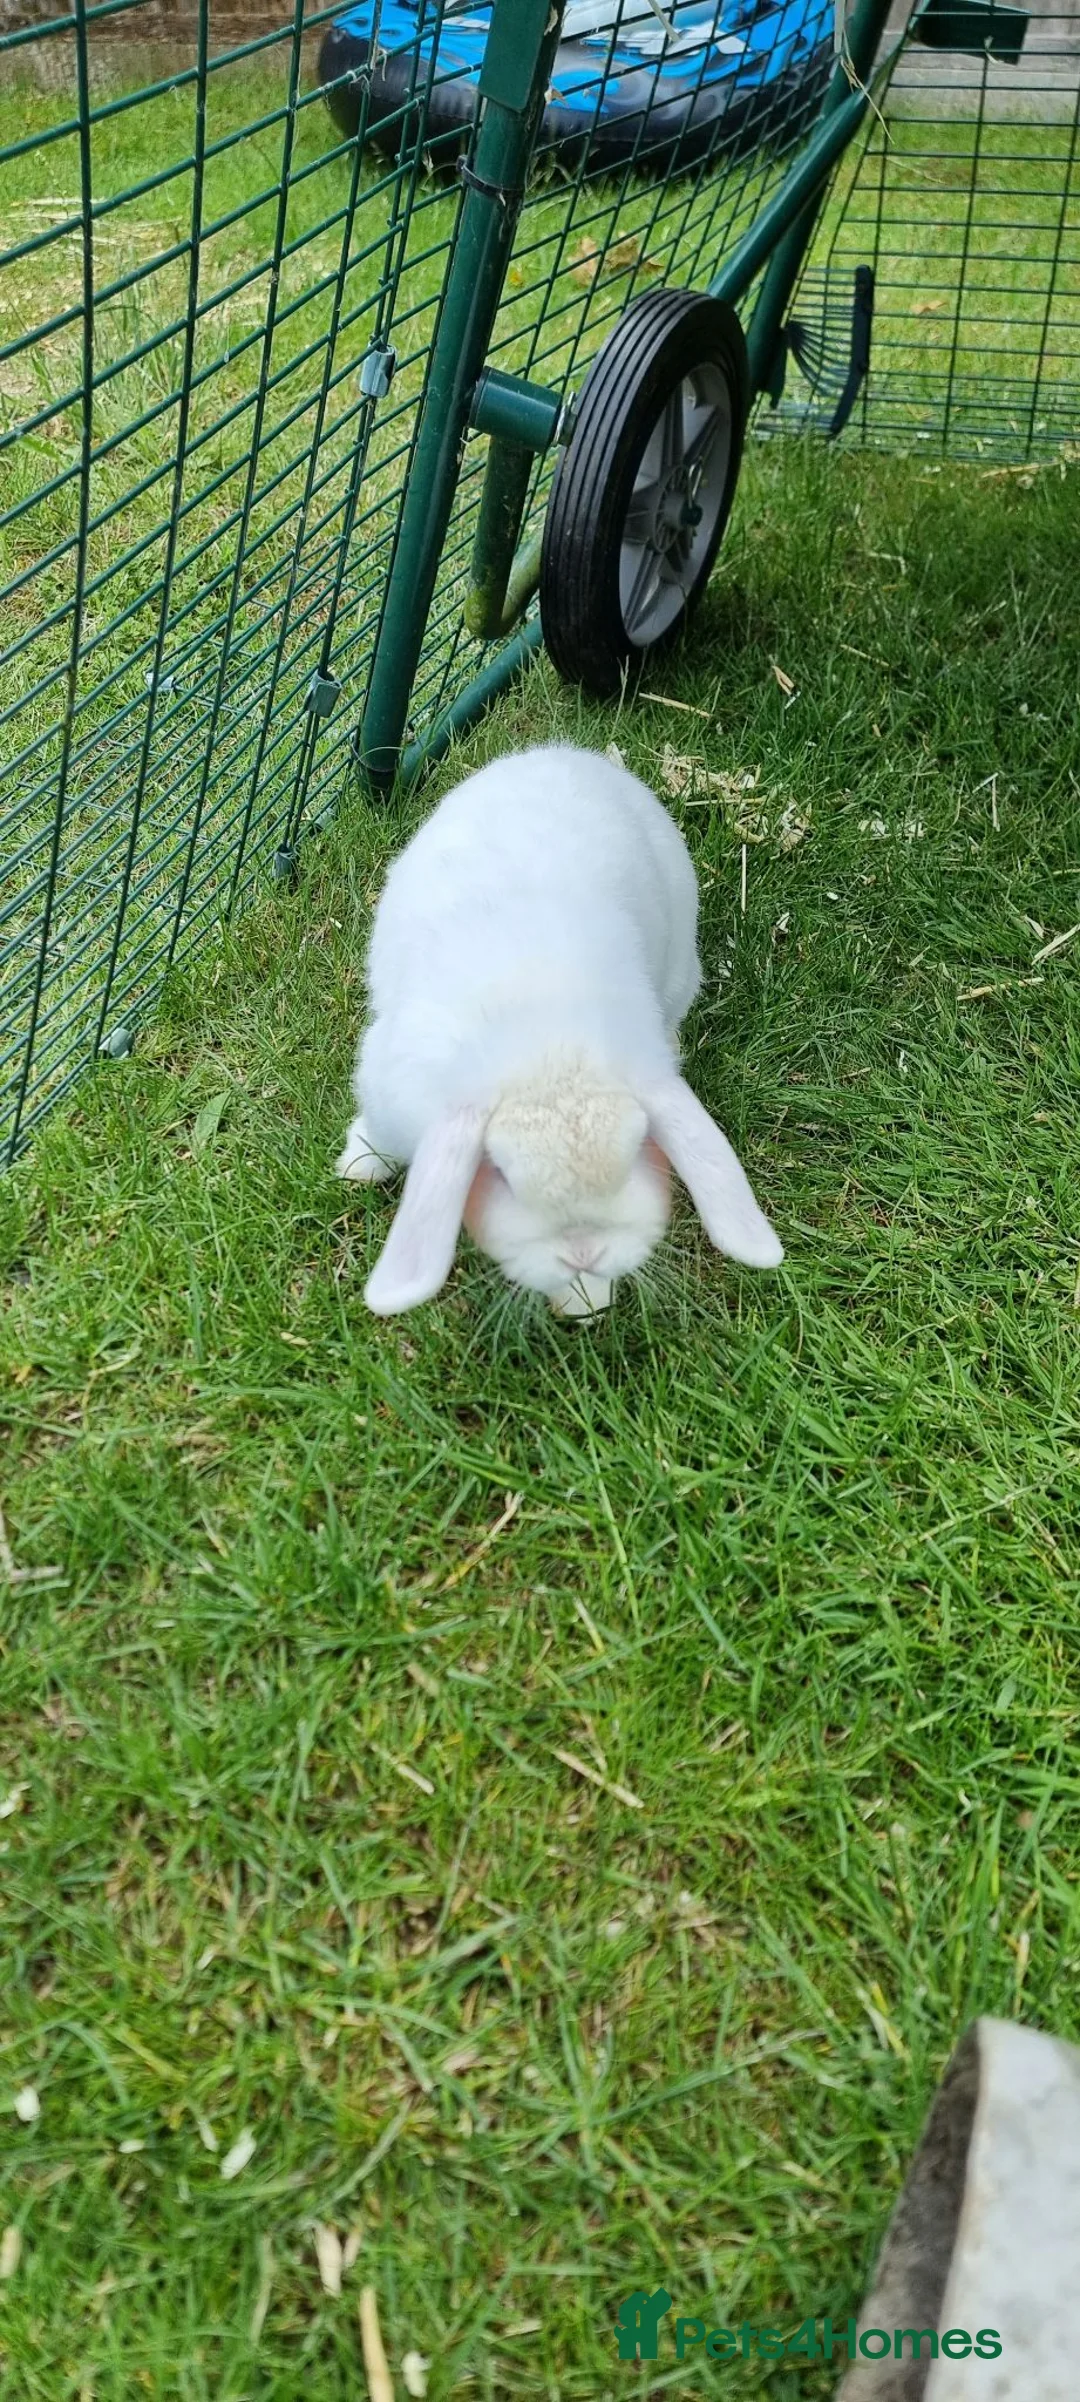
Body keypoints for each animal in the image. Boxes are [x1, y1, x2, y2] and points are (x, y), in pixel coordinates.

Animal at [337, 743, 783, 1317]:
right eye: (499, 1173)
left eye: (637, 1155)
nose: (582, 1252)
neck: (547, 1055)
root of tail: (564, 754)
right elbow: (379, 1136)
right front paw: (358, 1166)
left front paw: (583, 1301)